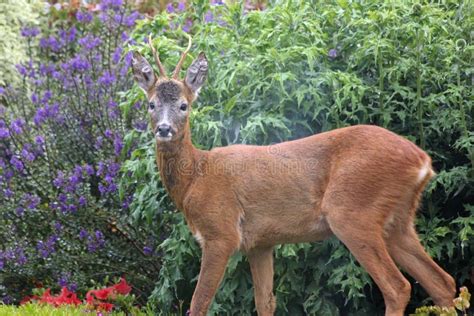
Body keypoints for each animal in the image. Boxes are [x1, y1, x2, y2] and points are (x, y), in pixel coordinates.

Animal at [131, 35, 458, 316]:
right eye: (151, 104)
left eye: (184, 105)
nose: (164, 129)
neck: (196, 177)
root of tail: (422, 160)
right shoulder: (260, 243)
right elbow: (265, 302)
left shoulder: (220, 232)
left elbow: (198, 303)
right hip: (398, 220)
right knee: (443, 282)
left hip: (352, 211)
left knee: (397, 287)